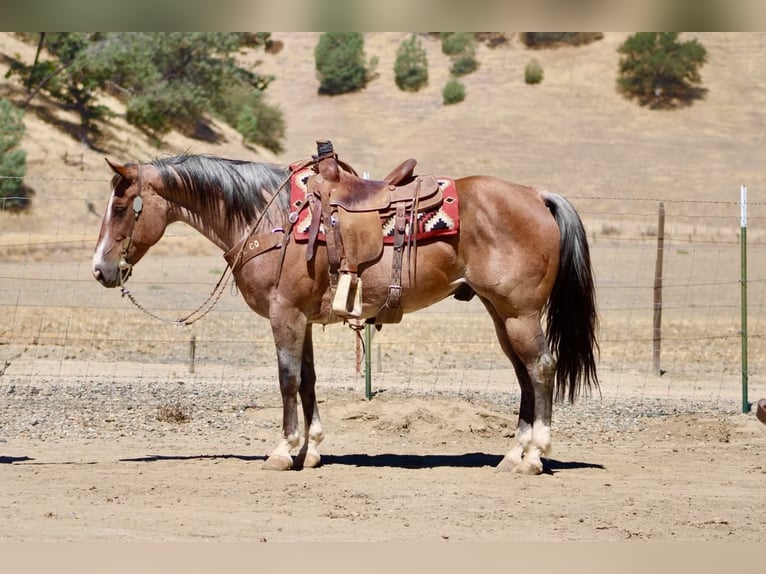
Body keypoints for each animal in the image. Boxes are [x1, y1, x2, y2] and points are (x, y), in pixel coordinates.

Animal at [91, 150, 598, 475]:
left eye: (120, 206)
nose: (100, 270)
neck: (271, 217)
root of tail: (537, 195)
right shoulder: (302, 318)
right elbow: (308, 381)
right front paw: (311, 451)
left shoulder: (284, 314)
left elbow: (287, 380)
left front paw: (283, 451)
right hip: (499, 313)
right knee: (523, 374)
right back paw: (513, 455)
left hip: (520, 313)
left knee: (542, 368)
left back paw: (535, 457)